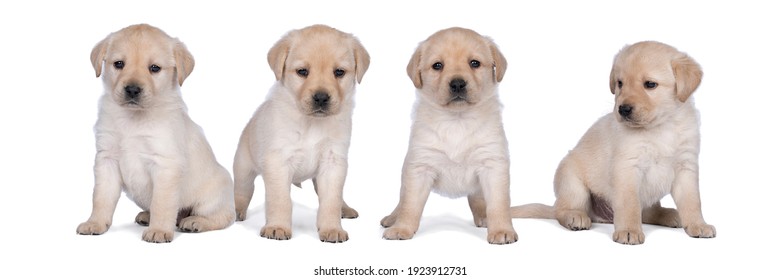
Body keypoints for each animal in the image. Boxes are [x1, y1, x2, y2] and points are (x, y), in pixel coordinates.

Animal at [76, 24, 235, 243]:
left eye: (154, 68)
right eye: (119, 64)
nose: (132, 90)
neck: (133, 119)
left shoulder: (165, 164)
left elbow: (162, 203)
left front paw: (159, 230)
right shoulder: (106, 159)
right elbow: (101, 197)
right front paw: (95, 223)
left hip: (213, 196)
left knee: (223, 217)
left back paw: (195, 221)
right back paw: (147, 216)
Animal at [232, 24, 368, 243]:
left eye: (339, 72)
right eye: (302, 72)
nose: (321, 98)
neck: (312, 123)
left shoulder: (333, 162)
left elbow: (331, 200)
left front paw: (332, 228)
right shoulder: (278, 162)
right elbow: (280, 200)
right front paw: (277, 226)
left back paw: (345, 209)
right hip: (243, 168)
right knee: (241, 192)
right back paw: (236, 210)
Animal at [380, 27, 516, 244]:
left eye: (474, 63)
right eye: (437, 66)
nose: (458, 84)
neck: (457, 121)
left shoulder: (493, 164)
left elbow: (498, 204)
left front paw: (502, 230)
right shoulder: (419, 167)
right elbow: (410, 205)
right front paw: (402, 228)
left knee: (478, 200)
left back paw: (483, 217)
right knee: (401, 200)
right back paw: (392, 218)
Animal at [512, 40, 712, 244]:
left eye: (650, 84)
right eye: (620, 83)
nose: (623, 109)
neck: (662, 126)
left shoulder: (685, 167)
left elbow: (693, 201)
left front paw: (698, 225)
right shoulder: (627, 168)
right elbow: (629, 205)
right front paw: (629, 230)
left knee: (648, 212)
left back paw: (668, 214)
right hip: (573, 183)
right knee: (562, 209)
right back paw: (574, 216)